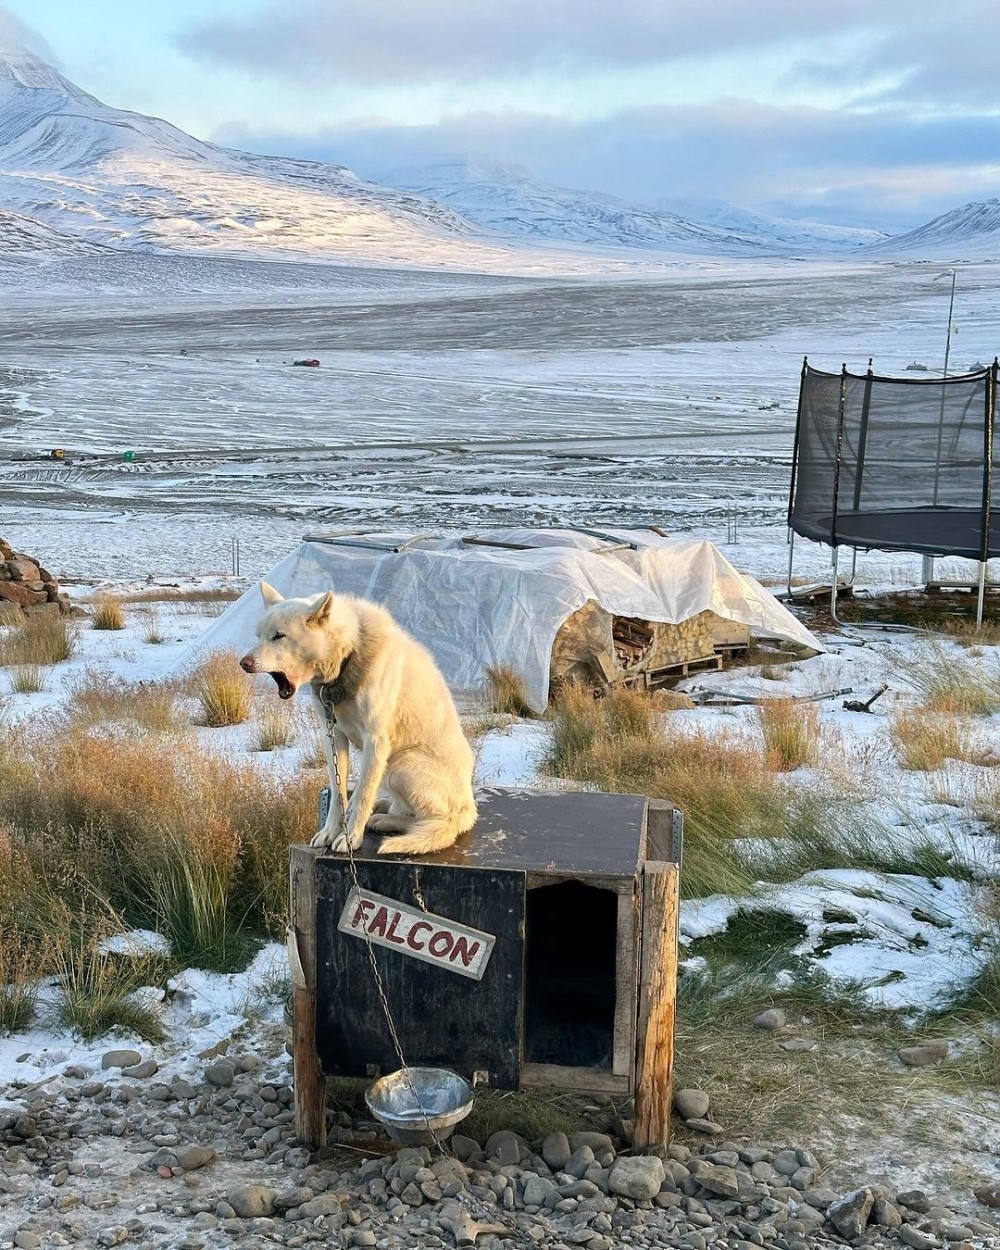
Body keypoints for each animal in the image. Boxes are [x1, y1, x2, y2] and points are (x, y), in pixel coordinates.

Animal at [240, 577, 477, 855]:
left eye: (279, 636)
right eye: (259, 636)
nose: (244, 663)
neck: (349, 655)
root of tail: (468, 808)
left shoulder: (376, 741)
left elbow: (362, 793)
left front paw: (351, 838)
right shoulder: (333, 736)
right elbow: (339, 793)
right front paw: (329, 832)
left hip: (400, 765)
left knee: (436, 821)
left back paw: (386, 820)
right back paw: (385, 810)